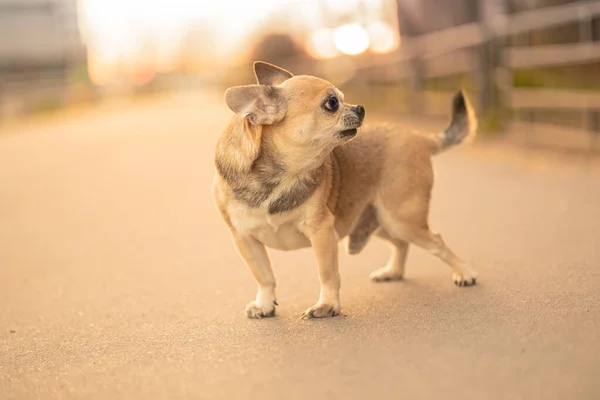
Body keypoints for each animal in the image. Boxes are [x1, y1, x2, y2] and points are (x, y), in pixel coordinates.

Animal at [213, 61, 480, 318]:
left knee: (436, 241)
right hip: (378, 220)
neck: (278, 177)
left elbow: (327, 273)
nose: (360, 108)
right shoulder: (245, 240)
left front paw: (327, 305)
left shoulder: (322, 232)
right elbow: (264, 276)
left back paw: (465, 273)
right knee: (401, 243)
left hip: (400, 218)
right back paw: (393, 271)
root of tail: (419, 137)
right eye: (332, 103)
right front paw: (265, 304)